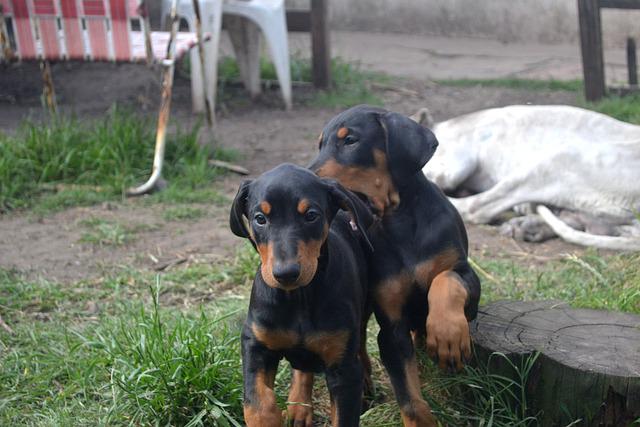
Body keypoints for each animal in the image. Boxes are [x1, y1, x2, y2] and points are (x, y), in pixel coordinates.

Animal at [230, 163, 378, 424]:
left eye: (311, 215)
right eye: (260, 219)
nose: (286, 273)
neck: (298, 297)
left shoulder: (343, 369)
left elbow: (343, 416)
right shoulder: (254, 342)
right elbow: (257, 401)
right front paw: (269, 418)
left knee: (359, 343)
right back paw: (299, 407)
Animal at [308, 105, 480, 426]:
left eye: (350, 140)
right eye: (320, 145)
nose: (305, 182)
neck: (400, 223)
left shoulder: (466, 276)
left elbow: (446, 280)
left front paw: (447, 334)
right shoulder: (391, 327)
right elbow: (409, 398)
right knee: (357, 342)